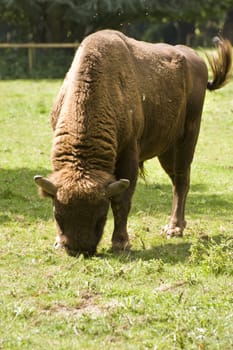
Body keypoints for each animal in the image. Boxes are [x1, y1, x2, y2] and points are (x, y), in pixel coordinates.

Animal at [34, 28, 231, 256]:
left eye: (101, 216)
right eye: (57, 215)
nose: (78, 249)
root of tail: (195, 59)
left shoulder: (129, 154)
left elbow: (122, 201)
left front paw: (121, 243)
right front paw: (58, 242)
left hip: (188, 137)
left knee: (182, 181)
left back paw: (174, 229)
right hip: (166, 149)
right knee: (177, 179)